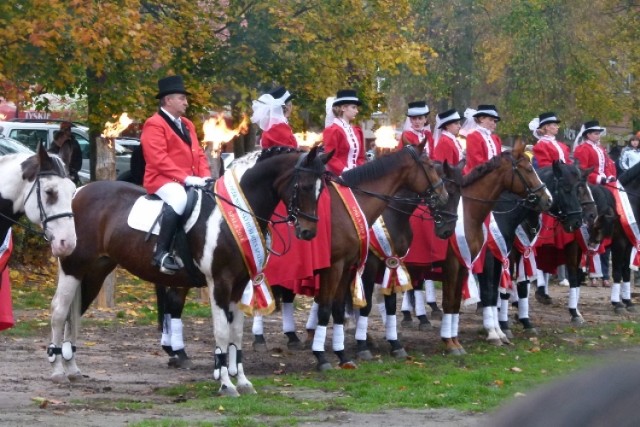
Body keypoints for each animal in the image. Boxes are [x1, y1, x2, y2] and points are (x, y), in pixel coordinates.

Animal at [47, 148, 332, 398]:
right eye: (304, 187)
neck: (234, 213)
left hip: (95, 272)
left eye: (322, 190)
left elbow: (237, 334)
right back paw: (58, 370)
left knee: (74, 315)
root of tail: (78, 191)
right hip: (73, 268)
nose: (308, 232)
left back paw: (72, 369)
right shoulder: (220, 283)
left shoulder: (240, 285)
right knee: (60, 312)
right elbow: (221, 331)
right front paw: (226, 384)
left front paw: (243, 382)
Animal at [438, 142, 552, 356]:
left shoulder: (499, 260)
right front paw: (493, 332)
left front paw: (499, 330)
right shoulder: (470, 263)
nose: (547, 199)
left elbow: (495, 293)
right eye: (528, 169)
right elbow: (486, 294)